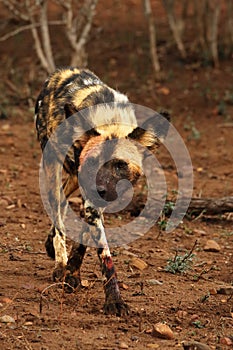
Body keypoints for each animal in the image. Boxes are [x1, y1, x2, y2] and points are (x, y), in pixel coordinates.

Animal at [35, 67, 169, 316]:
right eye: (93, 162)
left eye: (120, 165)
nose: (98, 188)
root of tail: (60, 72)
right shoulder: (90, 198)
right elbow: (105, 255)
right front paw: (114, 301)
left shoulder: (96, 201)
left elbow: (84, 240)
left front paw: (73, 273)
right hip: (52, 170)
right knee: (57, 212)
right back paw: (59, 263)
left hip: (73, 178)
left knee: (61, 204)